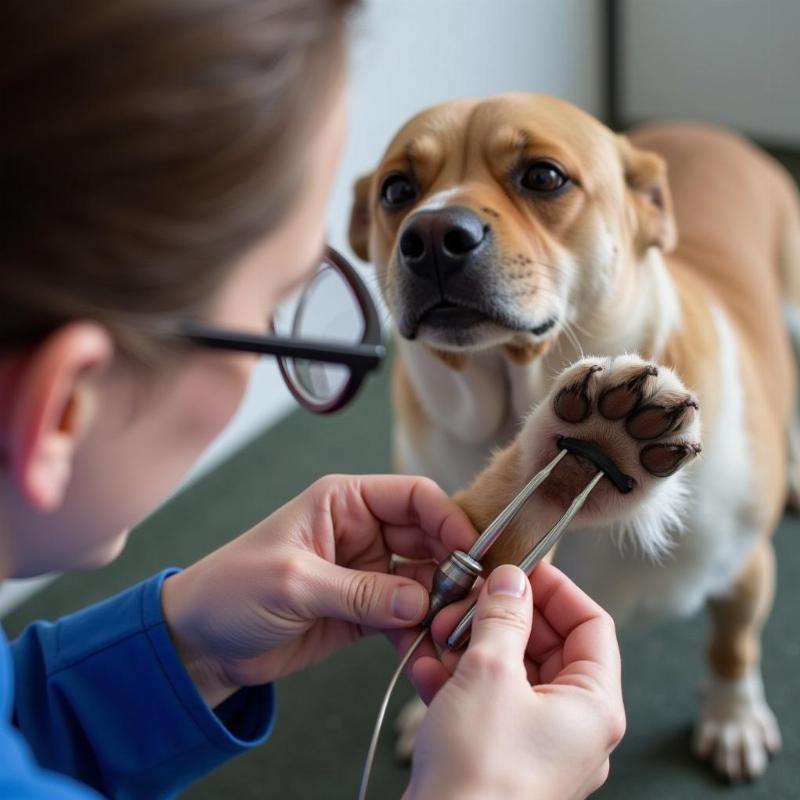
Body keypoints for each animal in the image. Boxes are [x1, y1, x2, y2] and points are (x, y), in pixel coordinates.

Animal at [348, 94, 800, 780]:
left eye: (543, 177)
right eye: (397, 190)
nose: (430, 236)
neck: (512, 390)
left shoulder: (746, 569)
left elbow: (733, 646)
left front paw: (733, 717)